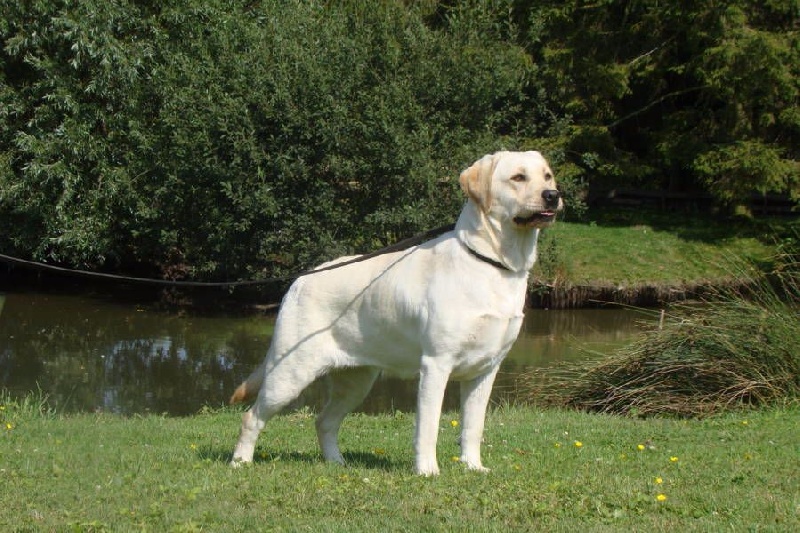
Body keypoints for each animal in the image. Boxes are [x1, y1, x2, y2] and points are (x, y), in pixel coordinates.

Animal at [227, 151, 564, 474]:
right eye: (518, 177)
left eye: (547, 175)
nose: (553, 195)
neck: (493, 263)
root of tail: (299, 280)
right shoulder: (436, 365)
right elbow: (428, 427)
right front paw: (427, 471)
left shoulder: (485, 370)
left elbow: (473, 427)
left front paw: (473, 466)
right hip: (290, 373)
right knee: (251, 417)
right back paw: (240, 462)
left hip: (355, 382)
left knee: (324, 421)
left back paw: (337, 463)